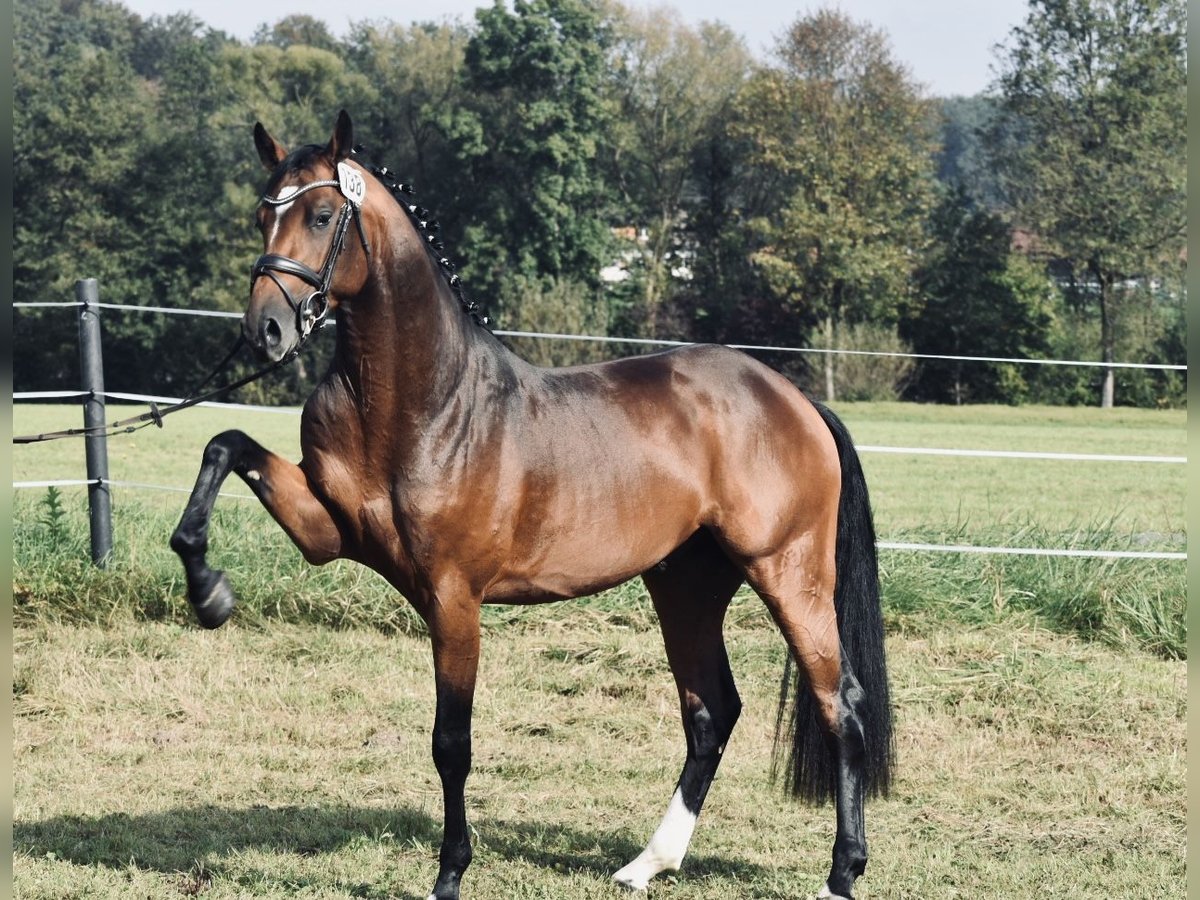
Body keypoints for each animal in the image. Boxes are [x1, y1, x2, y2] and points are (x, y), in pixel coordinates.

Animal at [170, 111, 893, 900]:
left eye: (323, 215)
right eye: (261, 214)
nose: (265, 329)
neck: (423, 401)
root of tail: (795, 398)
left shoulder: (453, 597)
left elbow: (451, 742)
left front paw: (450, 874)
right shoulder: (324, 531)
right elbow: (224, 445)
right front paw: (208, 592)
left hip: (789, 573)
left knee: (840, 705)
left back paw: (842, 872)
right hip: (686, 584)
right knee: (712, 711)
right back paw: (648, 863)